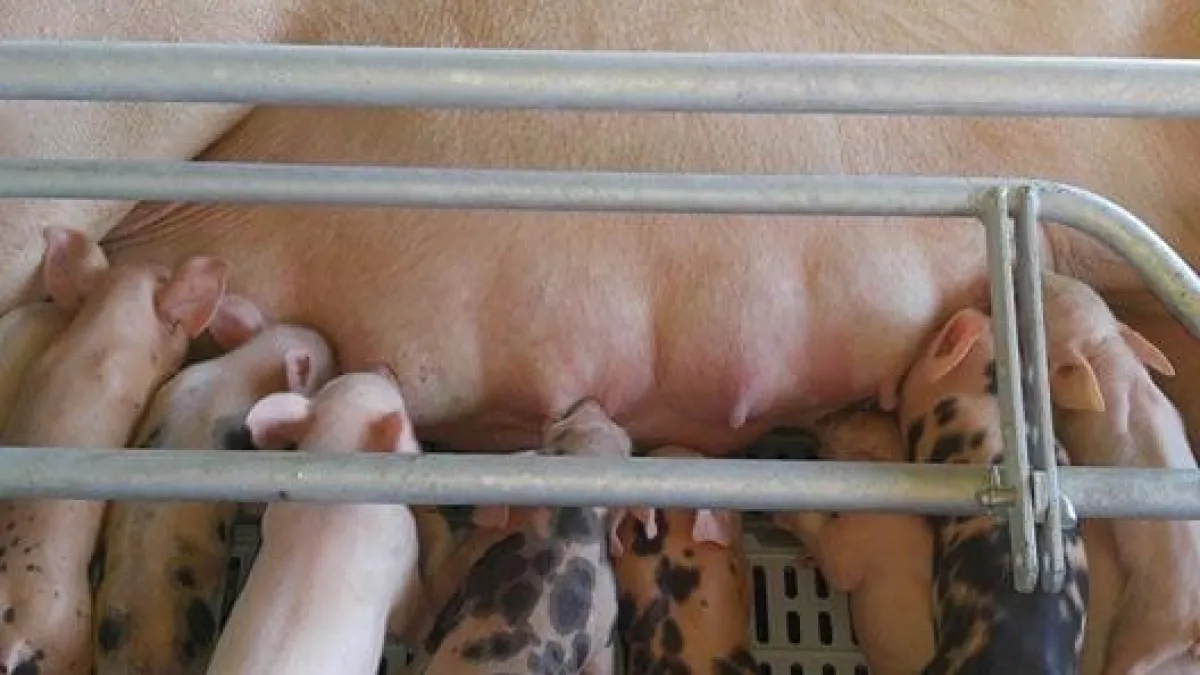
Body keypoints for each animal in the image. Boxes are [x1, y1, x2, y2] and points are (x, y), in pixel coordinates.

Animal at [1040, 270, 1200, 675]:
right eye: (1073, 285)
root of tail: (1194, 626)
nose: (1045, 273)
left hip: (1147, 625)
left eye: (1047, 297)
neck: (1105, 355)